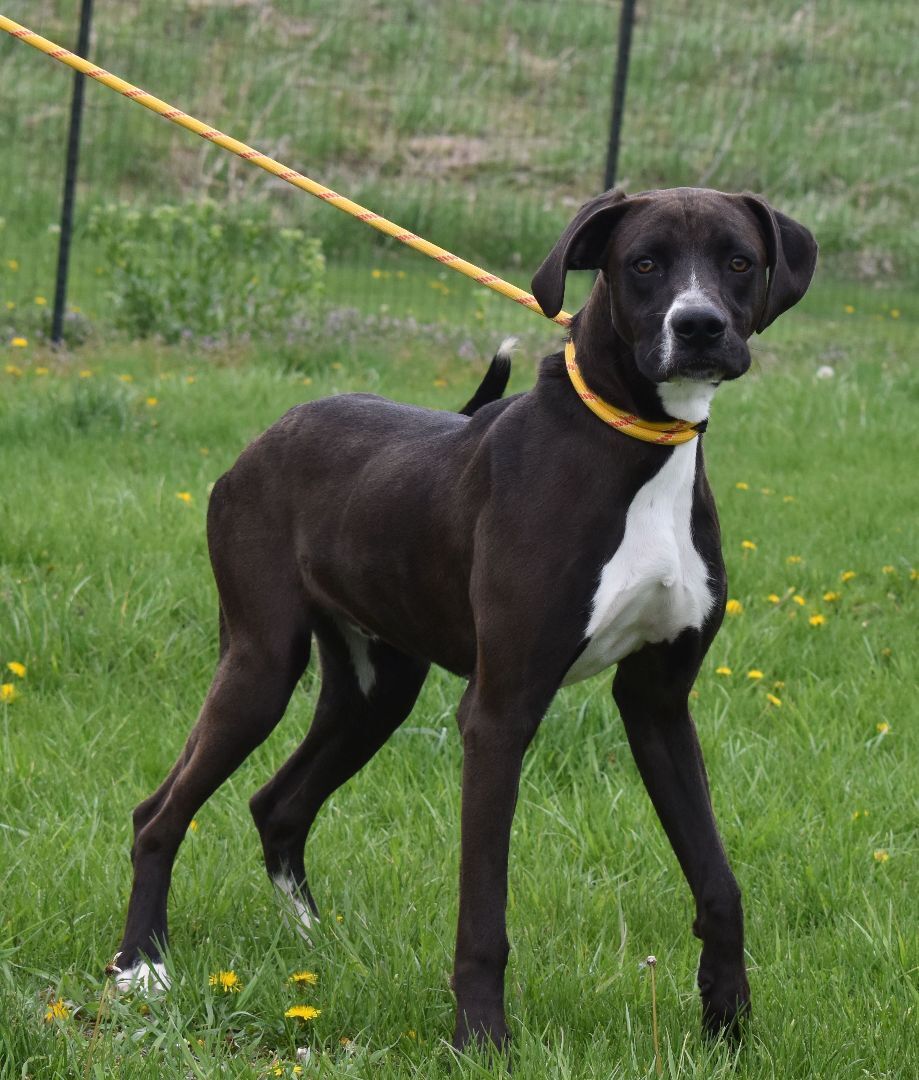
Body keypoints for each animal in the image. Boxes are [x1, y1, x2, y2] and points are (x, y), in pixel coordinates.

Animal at [109, 187, 820, 1054]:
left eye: (738, 260)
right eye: (644, 262)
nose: (698, 326)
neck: (631, 447)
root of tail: (266, 435)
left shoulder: (657, 703)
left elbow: (717, 879)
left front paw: (727, 1020)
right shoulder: (499, 711)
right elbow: (483, 908)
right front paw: (480, 1035)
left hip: (375, 692)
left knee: (277, 804)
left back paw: (315, 944)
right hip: (260, 666)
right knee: (160, 813)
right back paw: (142, 966)